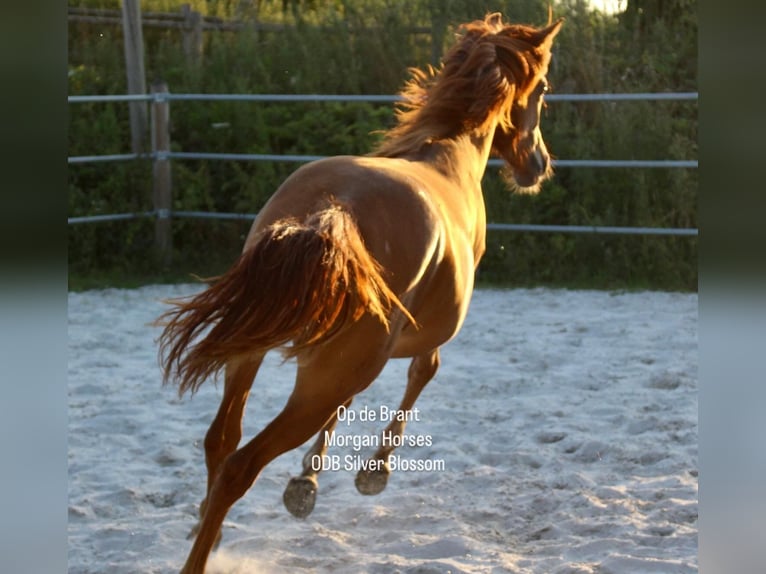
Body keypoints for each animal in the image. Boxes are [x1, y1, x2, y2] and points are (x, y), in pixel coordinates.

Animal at [157, 12, 562, 573]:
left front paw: (305, 483)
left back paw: (206, 528)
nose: (538, 164)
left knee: (221, 441)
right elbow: (419, 376)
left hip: (253, 347)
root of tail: (334, 210)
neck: (446, 156)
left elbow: (348, 407)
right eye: (543, 88)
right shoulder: (413, 345)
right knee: (242, 464)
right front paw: (368, 473)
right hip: (327, 372)